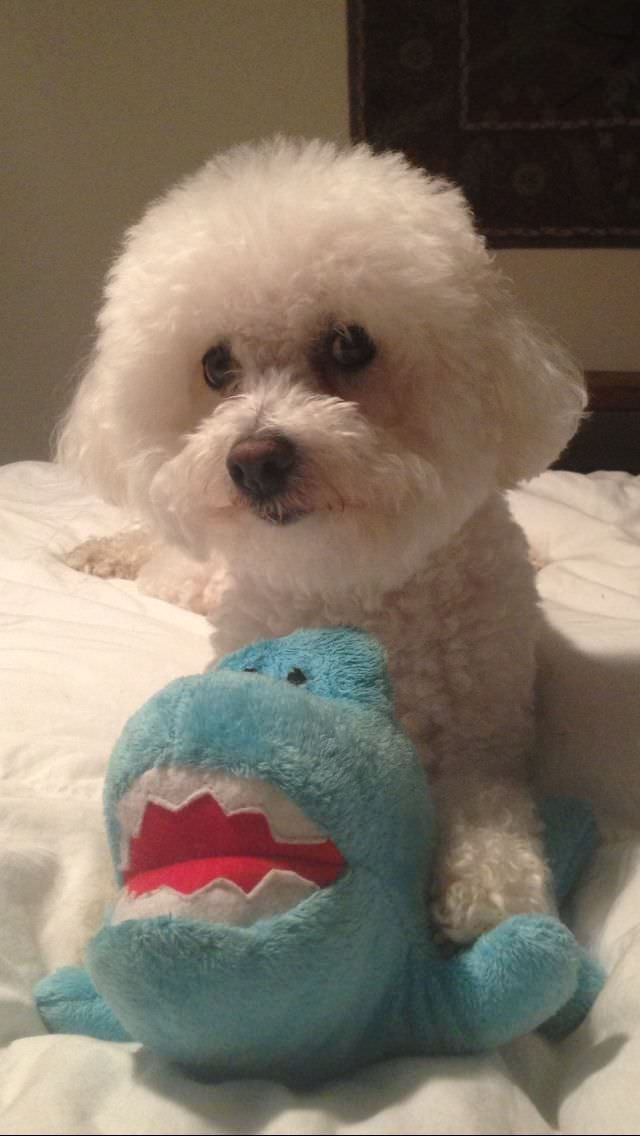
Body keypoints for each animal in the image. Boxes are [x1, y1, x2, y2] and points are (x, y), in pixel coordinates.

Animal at [57, 139, 586, 940]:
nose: (254, 461)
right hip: (183, 574)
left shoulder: (489, 735)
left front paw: (493, 890)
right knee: (150, 551)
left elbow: (490, 808)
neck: (350, 579)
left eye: (350, 344)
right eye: (216, 365)